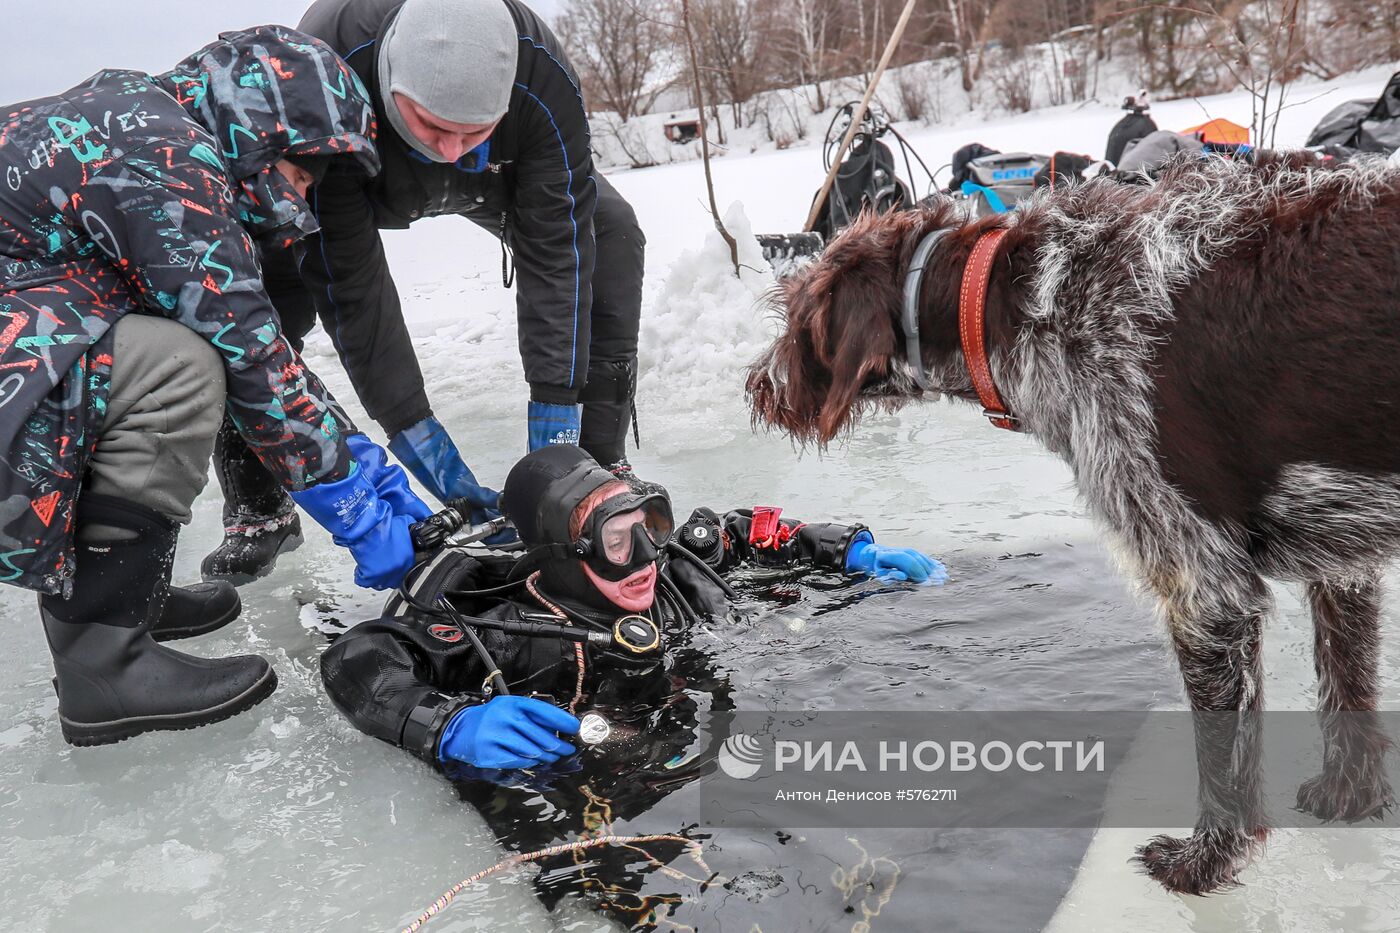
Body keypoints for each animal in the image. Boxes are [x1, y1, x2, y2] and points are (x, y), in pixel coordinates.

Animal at [750, 154, 1400, 896]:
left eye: (794, 315)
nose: (756, 386)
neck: (1029, 300)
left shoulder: (1204, 587)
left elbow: (1224, 758)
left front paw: (1203, 861)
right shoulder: (1342, 553)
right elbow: (1346, 681)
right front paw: (1350, 797)